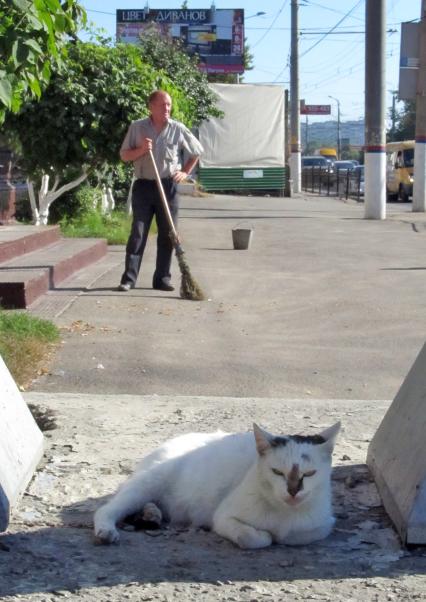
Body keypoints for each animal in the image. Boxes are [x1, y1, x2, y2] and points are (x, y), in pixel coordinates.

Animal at [95, 420, 342, 548]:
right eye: (277, 472)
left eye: (309, 474)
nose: (292, 491)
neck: (284, 513)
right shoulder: (222, 517)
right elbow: (252, 538)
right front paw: (265, 536)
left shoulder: (324, 524)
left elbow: (294, 536)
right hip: (148, 482)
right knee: (106, 509)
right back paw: (107, 530)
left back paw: (152, 514)